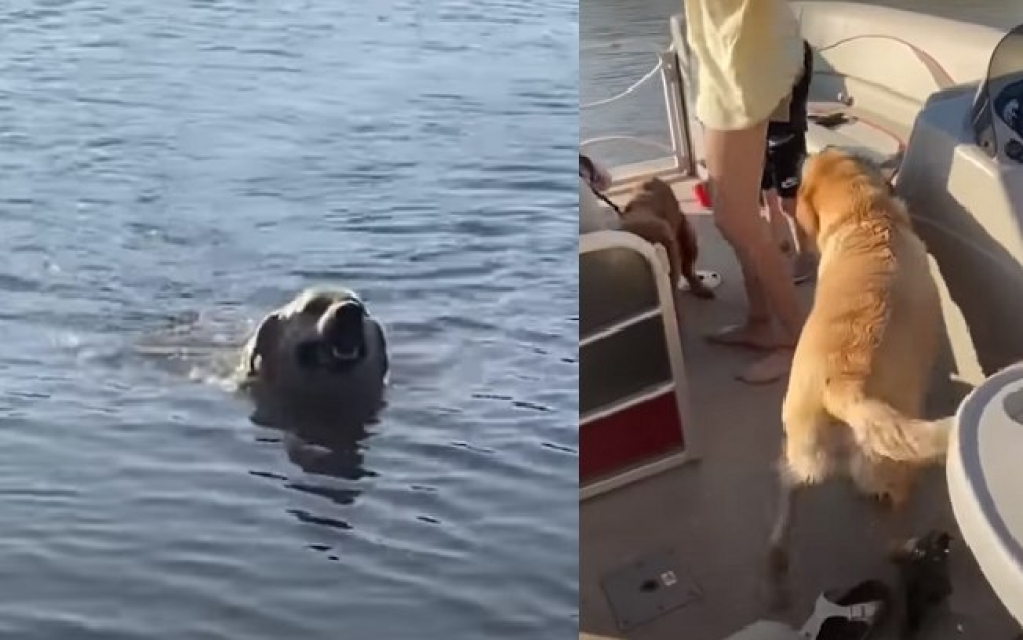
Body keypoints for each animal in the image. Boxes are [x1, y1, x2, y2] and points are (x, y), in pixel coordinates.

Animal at [769, 149, 949, 584]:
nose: (803, 152)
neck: (864, 215)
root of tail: (844, 388)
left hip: (802, 455)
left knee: (787, 490)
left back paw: (777, 554)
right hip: (891, 469)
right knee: (892, 524)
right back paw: (908, 548)